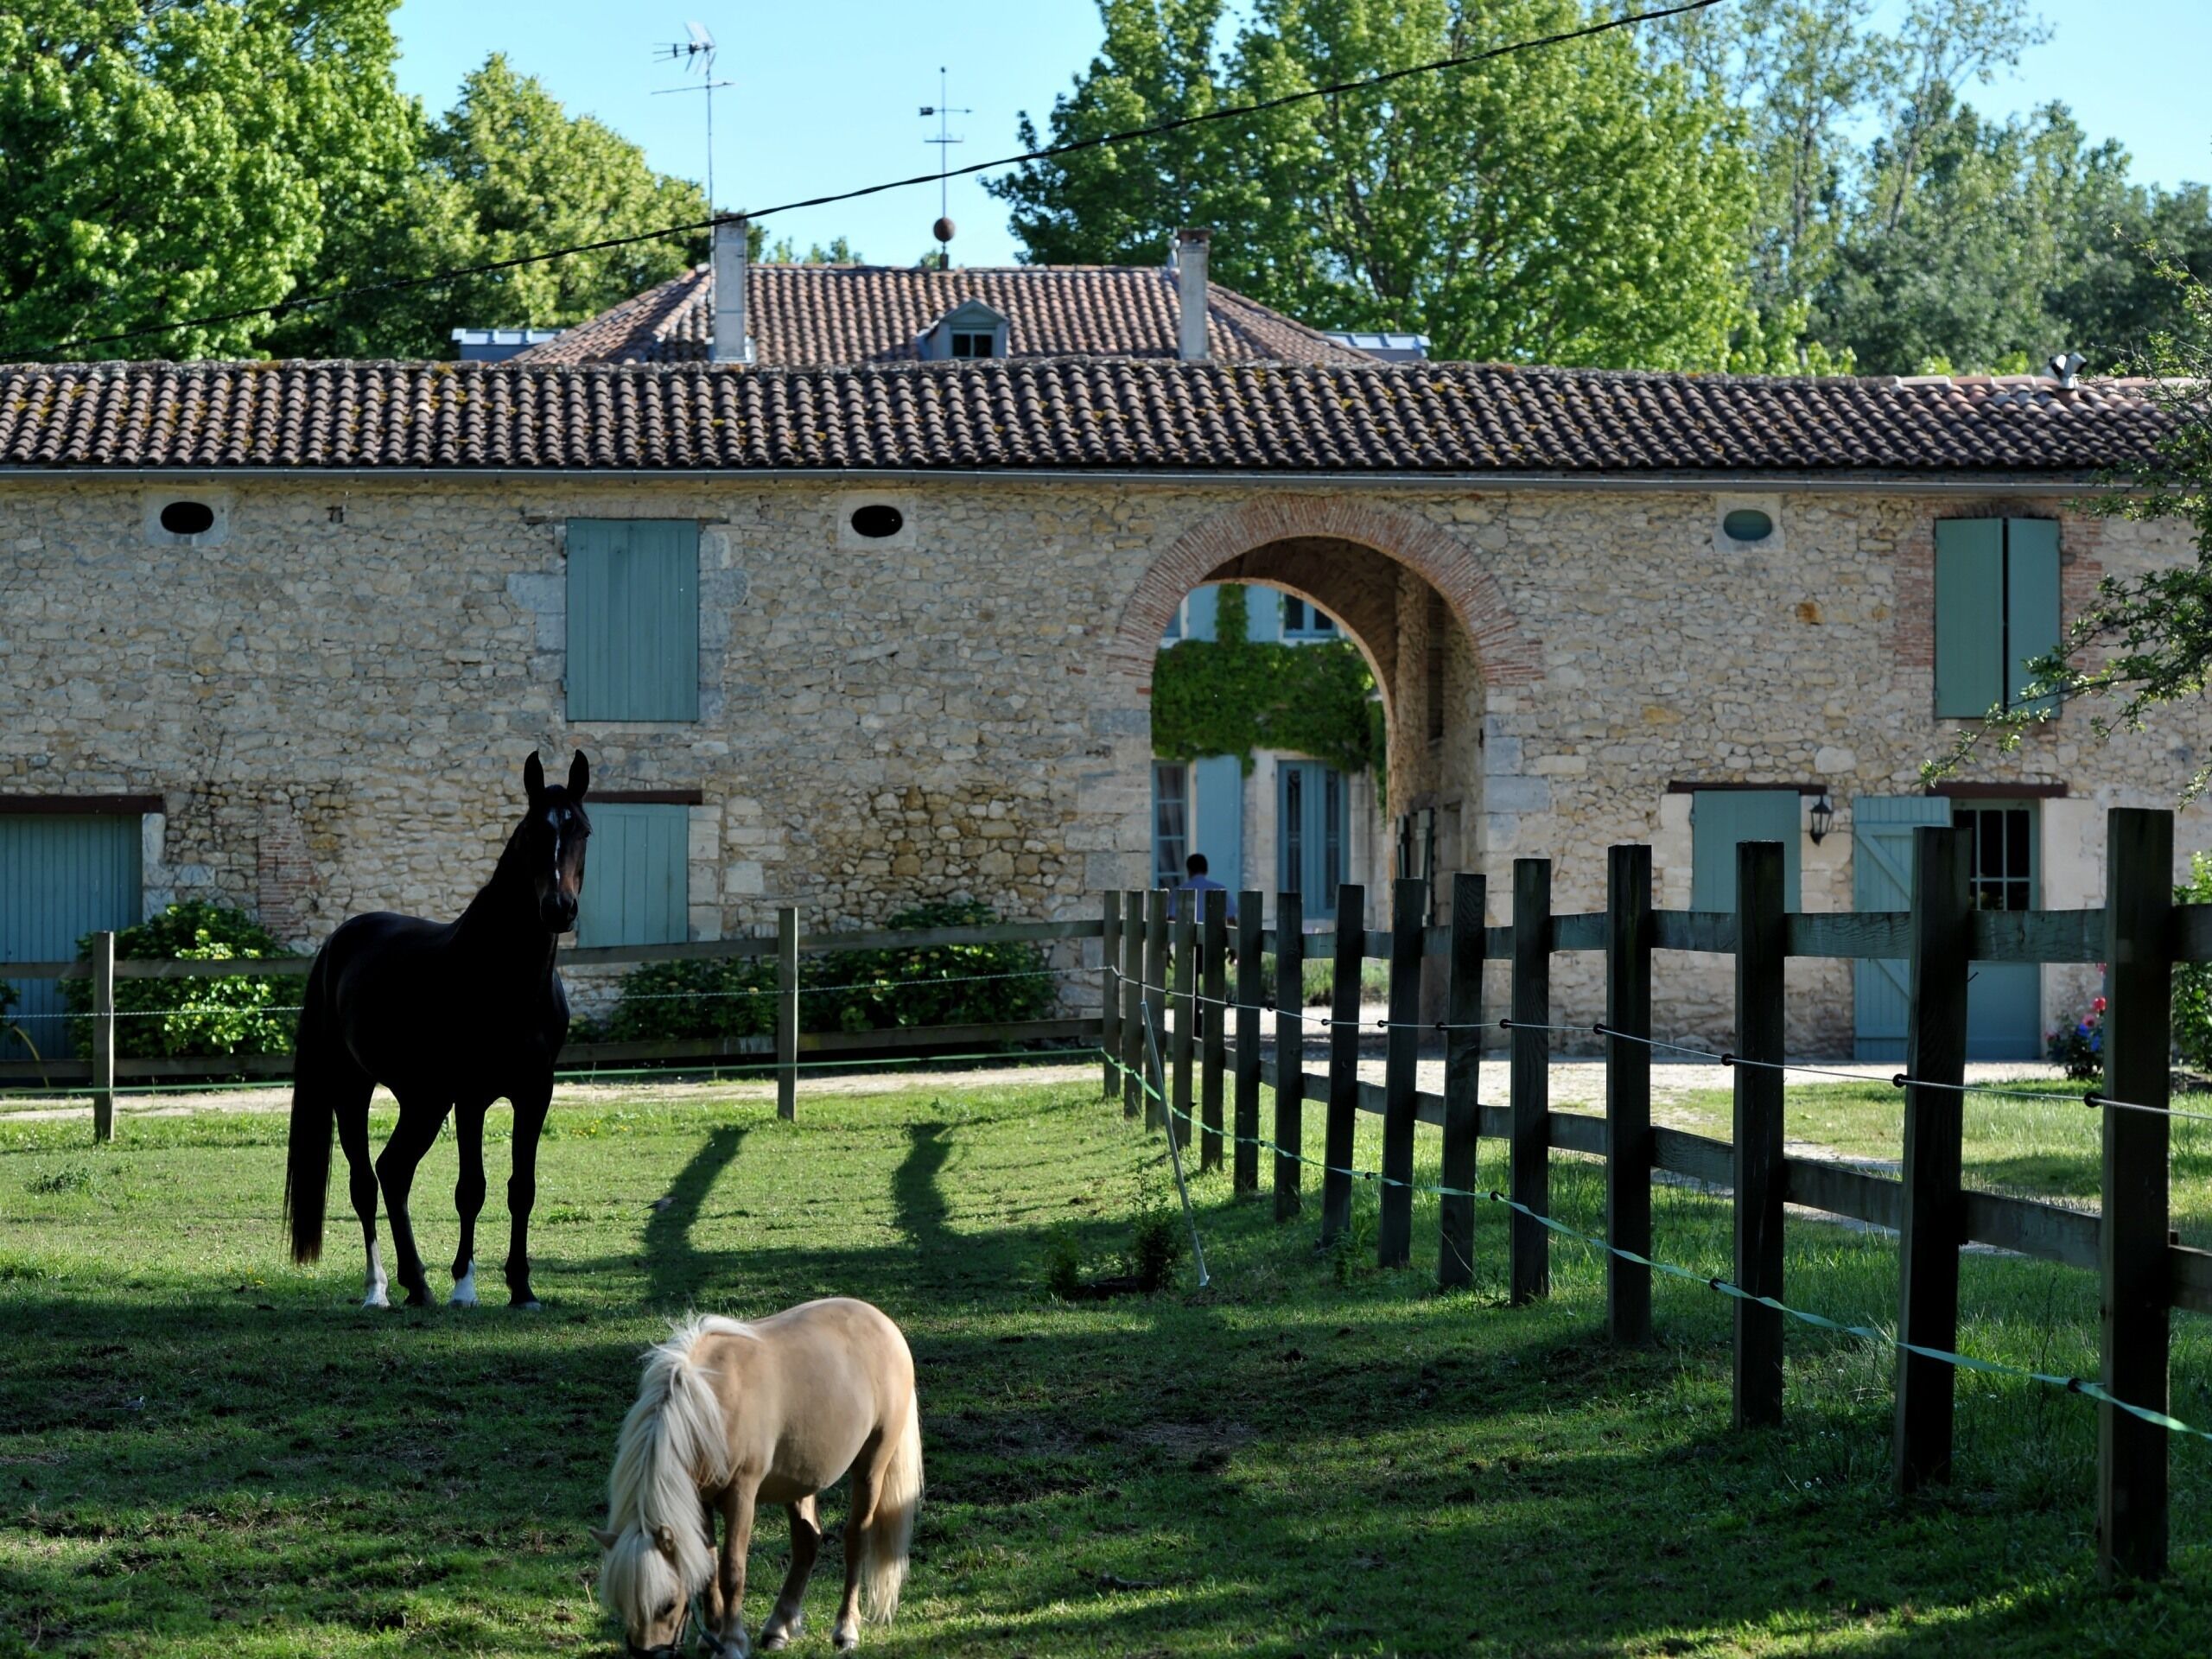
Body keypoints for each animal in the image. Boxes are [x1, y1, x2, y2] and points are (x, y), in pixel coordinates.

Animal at [283, 750, 590, 1310]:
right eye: (532, 832)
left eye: (581, 829)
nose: (558, 908)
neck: (505, 977)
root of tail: (340, 940)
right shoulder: (471, 1097)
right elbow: (471, 1189)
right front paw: (465, 1287)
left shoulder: (535, 1092)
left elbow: (522, 1188)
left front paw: (522, 1288)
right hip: (353, 1087)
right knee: (365, 1183)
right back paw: (378, 1289)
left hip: (423, 1100)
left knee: (393, 1171)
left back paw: (418, 1283)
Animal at [594, 1300, 923, 1656]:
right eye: (622, 1604)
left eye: (667, 1605)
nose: (648, 1654)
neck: (711, 1404)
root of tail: (884, 1324)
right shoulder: (700, 1500)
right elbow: (708, 1569)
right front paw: (711, 1636)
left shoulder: (742, 1494)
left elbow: (731, 1569)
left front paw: (732, 1641)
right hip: (800, 1480)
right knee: (807, 1541)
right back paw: (779, 1626)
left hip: (871, 1468)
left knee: (856, 1539)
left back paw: (845, 1629)